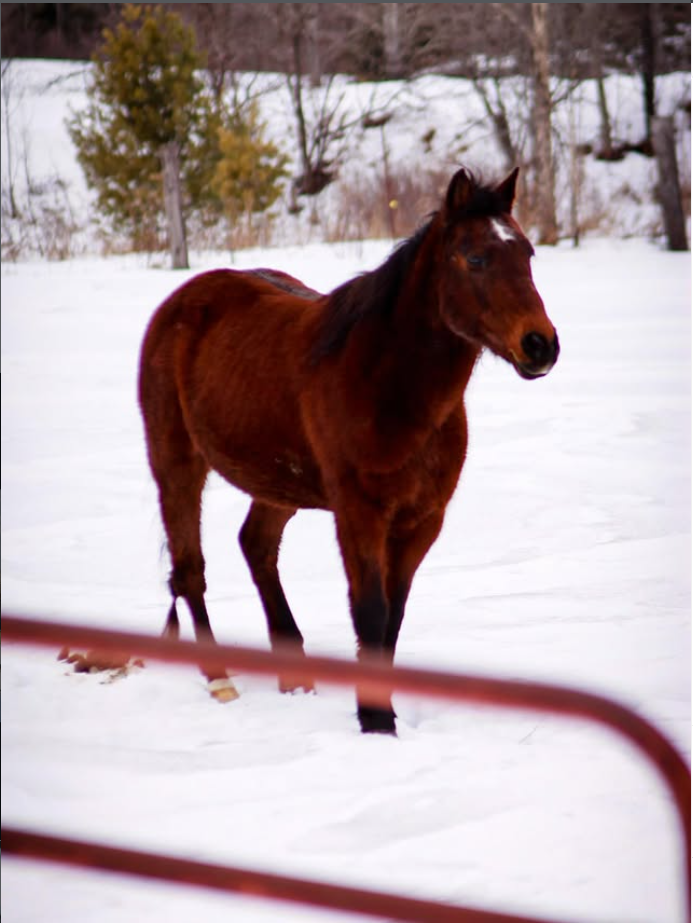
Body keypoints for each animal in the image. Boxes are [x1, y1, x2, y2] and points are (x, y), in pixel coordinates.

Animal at [138, 167, 559, 733]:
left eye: (528, 254)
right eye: (475, 258)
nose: (541, 345)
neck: (388, 386)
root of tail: (180, 302)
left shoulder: (422, 519)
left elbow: (393, 616)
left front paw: (382, 713)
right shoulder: (360, 513)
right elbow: (371, 611)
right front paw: (375, 721)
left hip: (279, 483)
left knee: (255, 546)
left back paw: (294, 676)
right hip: (177, 463)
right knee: (189, 569)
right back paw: (220, 679)